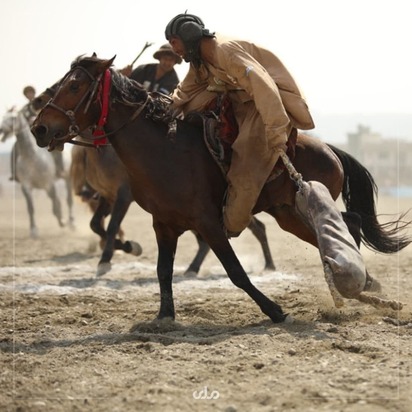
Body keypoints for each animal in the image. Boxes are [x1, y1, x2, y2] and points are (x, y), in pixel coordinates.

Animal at [0, 106, 74, 238]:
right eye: (3, 117)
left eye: (13, 117)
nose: (1, 129)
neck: (32, 157)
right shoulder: (26, 187)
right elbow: (31, 208)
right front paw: (33, 230)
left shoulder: (49, 184)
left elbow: (56, 204)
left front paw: (62, 221)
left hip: (67, 179)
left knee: (68, 200)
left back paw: (70, 222)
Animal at [30, 54, 410, 324]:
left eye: (74, 86)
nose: (39, 128)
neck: (164, 150)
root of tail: (329, 148)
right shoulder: (163, 225)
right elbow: (162, 270)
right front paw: (164, 316)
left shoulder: (208, 223)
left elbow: (235, 271)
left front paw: (274, 310)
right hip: (288, 214)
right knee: (337, 230)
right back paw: (365, 286)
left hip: (306, 206)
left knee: (350, 222)